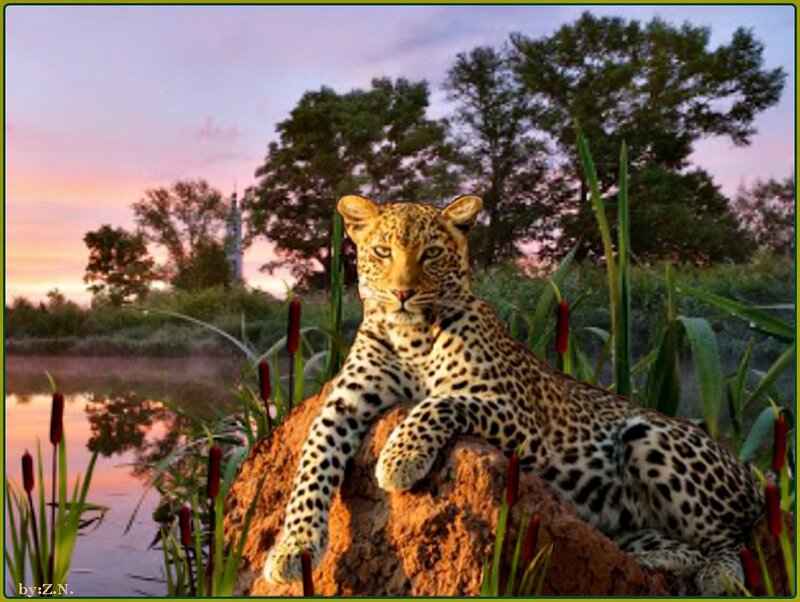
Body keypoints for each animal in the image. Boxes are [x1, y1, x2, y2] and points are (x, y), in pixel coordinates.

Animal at [263, 194, 764, 594]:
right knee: (682, 548)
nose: (402, 293)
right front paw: (293, 548)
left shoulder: (517, 417)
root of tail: (753, 474)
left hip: (652, 437)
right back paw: (628, 566)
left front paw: (399, 460)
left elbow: (437, 402)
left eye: (431, 254)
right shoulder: (341, 405)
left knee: (732, 538)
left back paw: (719, 576)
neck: (411, 337)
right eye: (383, 252)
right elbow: (311, 467)